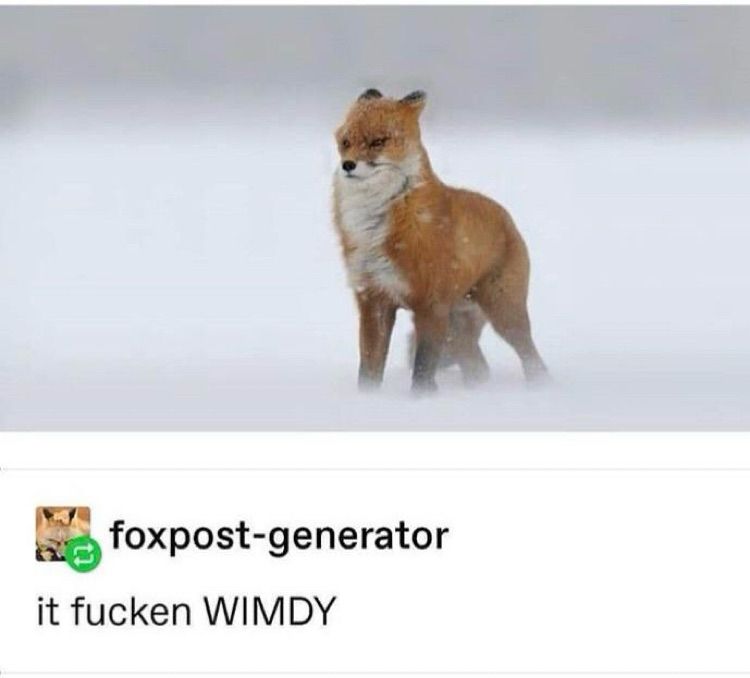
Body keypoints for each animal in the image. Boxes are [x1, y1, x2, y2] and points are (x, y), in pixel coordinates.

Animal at [333, 88, 547, 393]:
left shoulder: (430, 305)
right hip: (457, 329)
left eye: (377, 142)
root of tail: (507, 217)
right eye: (345, 142)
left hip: (503, 313)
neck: (377, 227)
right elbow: (369, 370)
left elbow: (423, 369)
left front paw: (421, 400)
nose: (347, 165)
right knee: (479, 368)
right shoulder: (374, 299)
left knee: (532, 359)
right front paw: (368, 400)